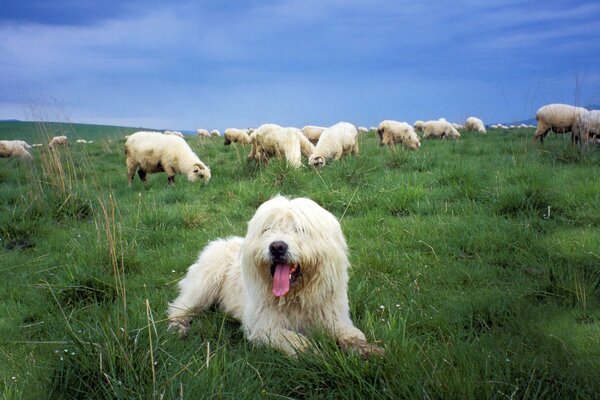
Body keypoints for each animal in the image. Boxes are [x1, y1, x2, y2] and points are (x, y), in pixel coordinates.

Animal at [168, 196, 384, 356]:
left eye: (299, 229)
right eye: (268, 229)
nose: (277, 247)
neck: (296, 297)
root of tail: (220, 242)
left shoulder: (334, 318)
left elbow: (352, 333)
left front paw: (366, 350)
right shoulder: (263, 326)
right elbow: (296, 341)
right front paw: (317, 353)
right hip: (205, 283)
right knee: (179, 307)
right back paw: (178, 326)